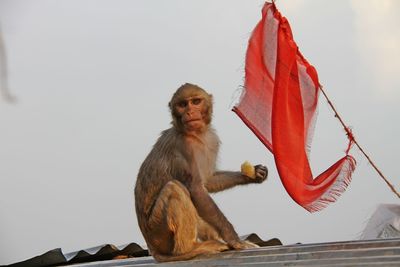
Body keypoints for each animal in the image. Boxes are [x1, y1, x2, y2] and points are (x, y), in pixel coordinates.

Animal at [134, 84, 268, 264]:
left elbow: (208, 182)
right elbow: (196, 189)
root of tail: (152, 248)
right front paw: (234, 238)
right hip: (158, 232)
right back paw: (189, 249)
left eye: (196, 102)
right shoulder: (184, 147)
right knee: (175, 188)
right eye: (183, 105)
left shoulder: (212, 139)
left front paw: (253, 174)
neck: (196, 134)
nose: (190, 112)